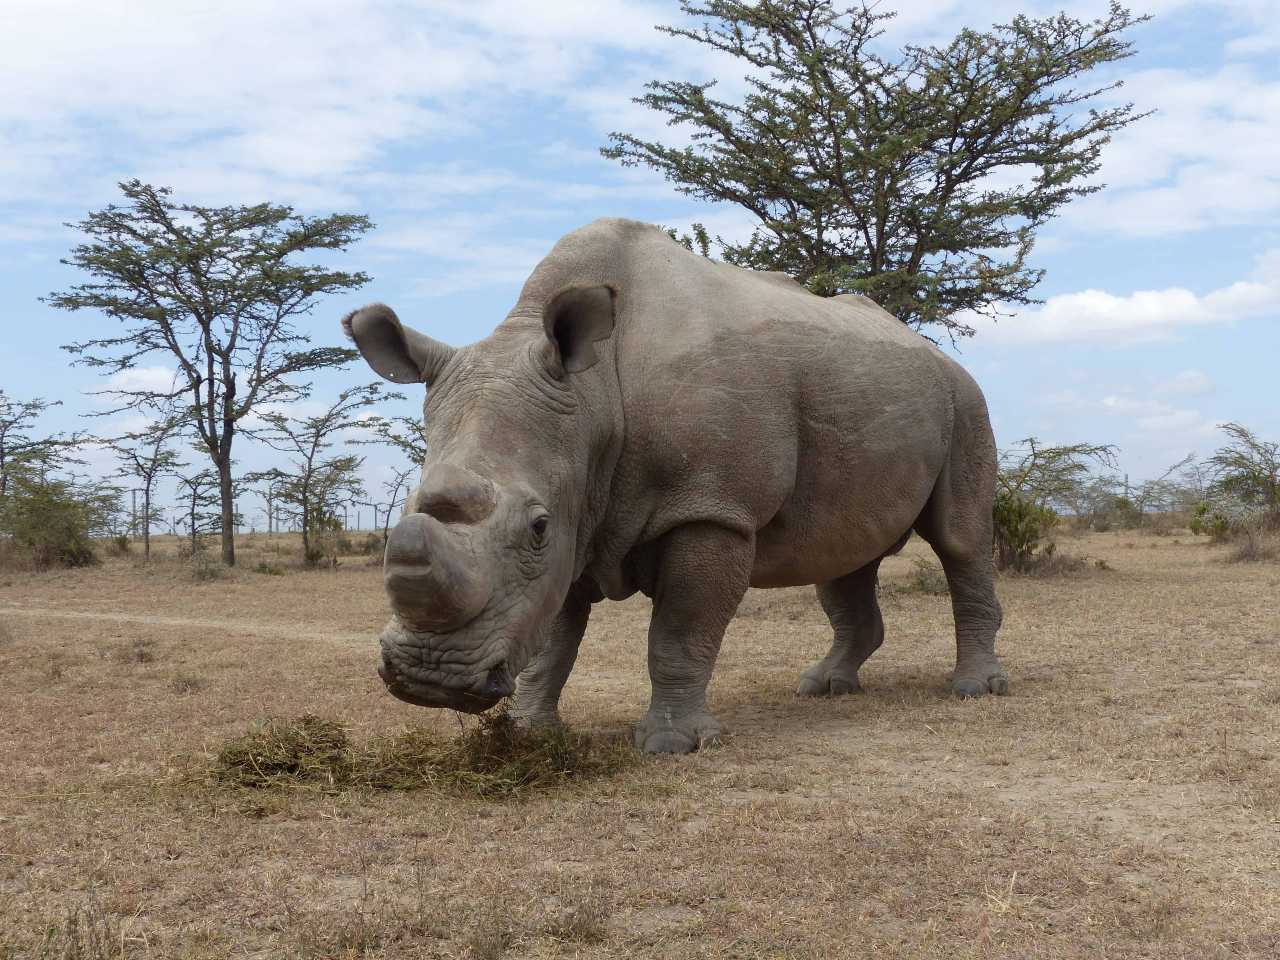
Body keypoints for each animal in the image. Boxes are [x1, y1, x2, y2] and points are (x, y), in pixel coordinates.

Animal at [345, 221, 1003, 757]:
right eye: (404, 513)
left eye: (536, 527)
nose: (430, 679)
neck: (594, 400)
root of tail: (927, 347)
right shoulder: (580, 507)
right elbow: (554, 635)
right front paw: (532, 734)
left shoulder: (711, 506)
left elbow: (680, 631)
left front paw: (673, 746)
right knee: (841, 554)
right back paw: (824, 687)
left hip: (965, 397)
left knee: (960, 539)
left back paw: (974, 689)